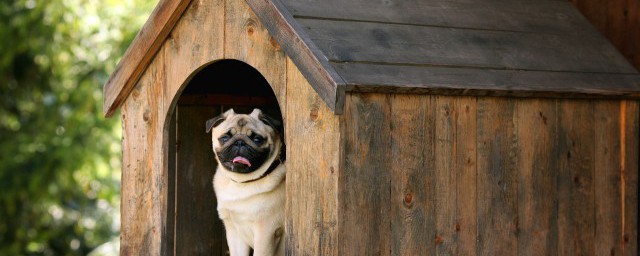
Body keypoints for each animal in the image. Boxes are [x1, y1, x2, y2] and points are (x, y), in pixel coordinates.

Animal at [206, 108, 286, 256]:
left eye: (257, 139)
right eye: (225, 138)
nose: (240, 142)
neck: (241, 182)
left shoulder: (266, 233)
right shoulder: (234, 232)